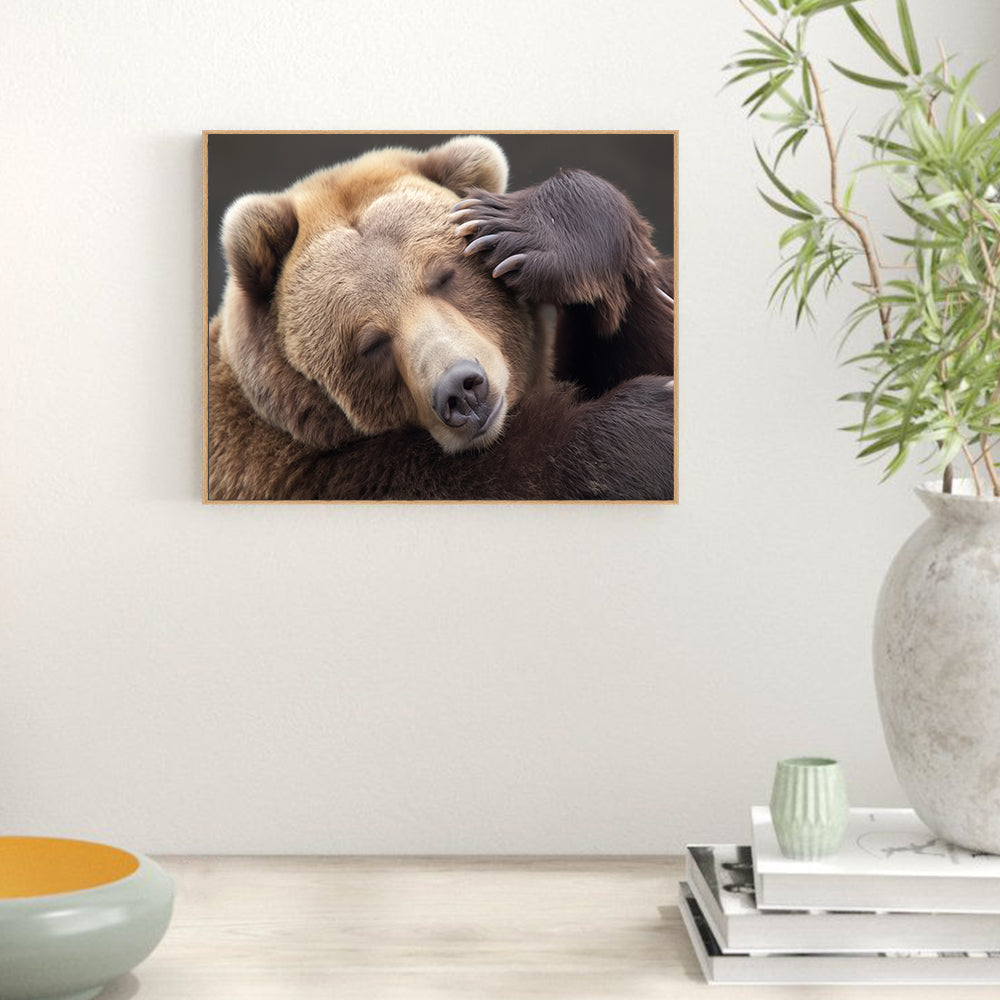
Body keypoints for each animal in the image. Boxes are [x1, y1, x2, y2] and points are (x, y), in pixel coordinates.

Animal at [206, 135, 674, 501]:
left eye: (444, 277)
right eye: (370, 342)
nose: (461, 389)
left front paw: (516, 229)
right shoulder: (317, 475)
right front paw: (651, 422)